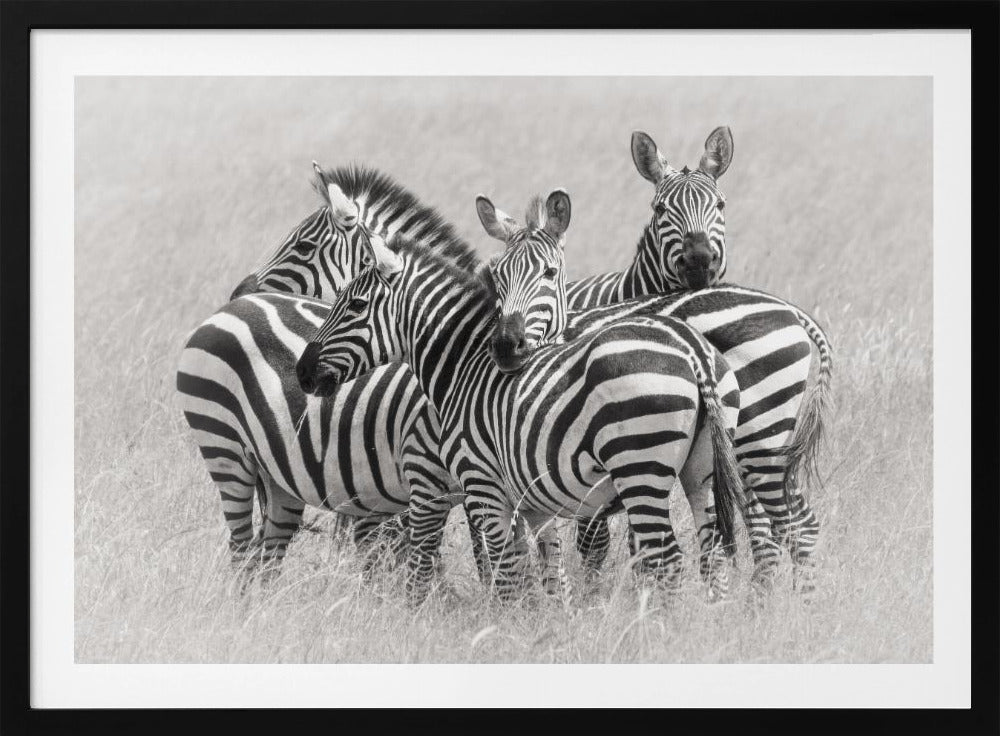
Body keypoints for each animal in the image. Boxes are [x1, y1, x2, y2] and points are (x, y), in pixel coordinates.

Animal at [296, 232, 747, 600]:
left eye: (355, 305)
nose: (301, 372)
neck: (463, 368)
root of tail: (692, 348)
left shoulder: (482, 486)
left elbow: (507, 574)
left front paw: (506, 631)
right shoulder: (532, 501)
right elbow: (547, 574)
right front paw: (548, 630)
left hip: (640, 468)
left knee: (666, 559)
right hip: (701, 472)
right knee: (711, 555)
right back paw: (710, 624)